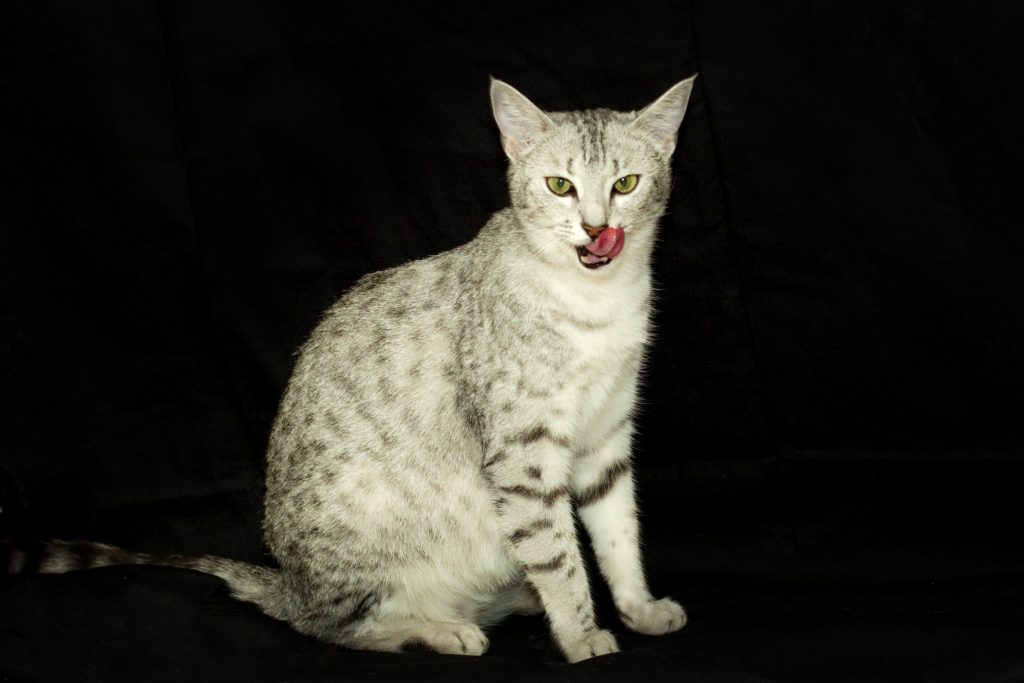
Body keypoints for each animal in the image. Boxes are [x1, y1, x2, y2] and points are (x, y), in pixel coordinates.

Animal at [6, 76, 696, 663]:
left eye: (626, 184)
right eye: (559, 186)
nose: (596, 229)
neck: (598, 304)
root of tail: (286, 582)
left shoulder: (606, 435)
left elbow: (617, 534)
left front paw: (636, 608)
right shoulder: (523, 451)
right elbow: (557, 553)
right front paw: (580, 636)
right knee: (329, 627)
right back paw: (441, 629)